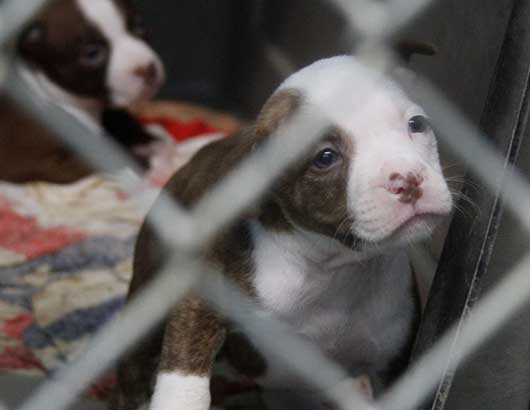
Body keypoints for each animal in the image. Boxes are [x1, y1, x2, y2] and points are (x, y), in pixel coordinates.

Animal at [0, 0, 164, 183]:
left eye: (138, 27)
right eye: (92, 53)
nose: (147, 69)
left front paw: (149, 140)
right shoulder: (45, 160)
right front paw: (147, 165)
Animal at [114, 55, 450, 410]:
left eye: (417, 124)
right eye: (325, 157)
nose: (408, 180)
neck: (332, 266)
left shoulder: (390, 356)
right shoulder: (202, 297)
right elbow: (185, 374)